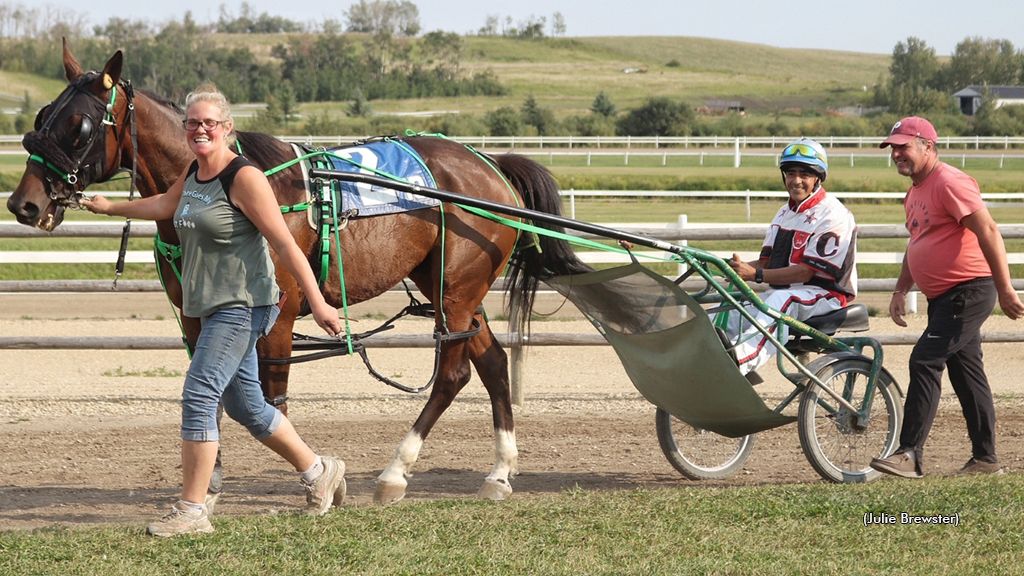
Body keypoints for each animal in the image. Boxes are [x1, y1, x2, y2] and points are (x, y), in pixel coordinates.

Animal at [8, 41, 589, 502]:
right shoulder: (196, 317)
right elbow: (207, 393)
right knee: (490, 361)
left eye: (80, 125)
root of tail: (489, 164)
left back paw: (395, 472)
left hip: (455, 289)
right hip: (451, 289)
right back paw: (498, 473)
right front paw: (208, 478)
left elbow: (272, 399)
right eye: (40, 117)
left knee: (453, 373)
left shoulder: (279, 318)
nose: (24, 204)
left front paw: (311, 478)